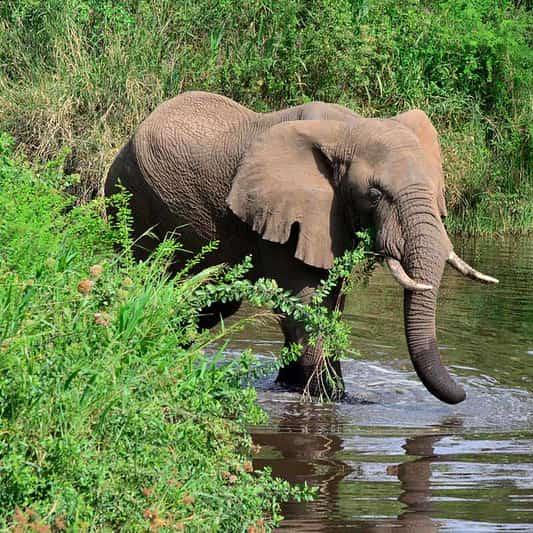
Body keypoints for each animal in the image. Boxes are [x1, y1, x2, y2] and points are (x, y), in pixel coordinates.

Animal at [105, 91, 498, 404]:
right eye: (374, 195)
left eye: (435, 191)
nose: (464, 394)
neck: (350, 128)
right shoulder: (282, 211)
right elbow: (305, 299)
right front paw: (328, 397)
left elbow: (333, 300)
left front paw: (308, 387)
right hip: (133, 201)